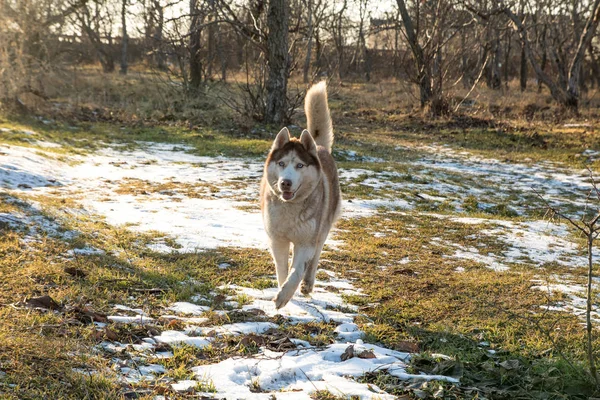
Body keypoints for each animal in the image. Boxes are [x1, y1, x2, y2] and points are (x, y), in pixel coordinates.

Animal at [258, 81, 340, 310]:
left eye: (300, 165)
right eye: (281, 163)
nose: (285, 182)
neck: (290, 208)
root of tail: (319, 147)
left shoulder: (305, 243)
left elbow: (296, 271)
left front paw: (285, 295)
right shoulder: (277, 240)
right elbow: (283, 269)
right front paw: (282, 290)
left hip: (323, 228)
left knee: (315, 257)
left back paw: (307, 284)